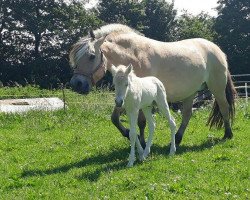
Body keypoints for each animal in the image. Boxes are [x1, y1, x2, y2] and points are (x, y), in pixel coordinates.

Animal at [69, 23, 236, 148]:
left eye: (91, 56)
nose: (76, 84)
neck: (134, 57)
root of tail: (217, 50)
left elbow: (141, 122)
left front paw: (142, 143)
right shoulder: (124, 96)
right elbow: (114, 118)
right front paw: (129, 134)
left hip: (217, 88)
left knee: (224, 107)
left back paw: (228, 134)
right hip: (190, 92)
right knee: (187, 114)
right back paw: (177, 138)